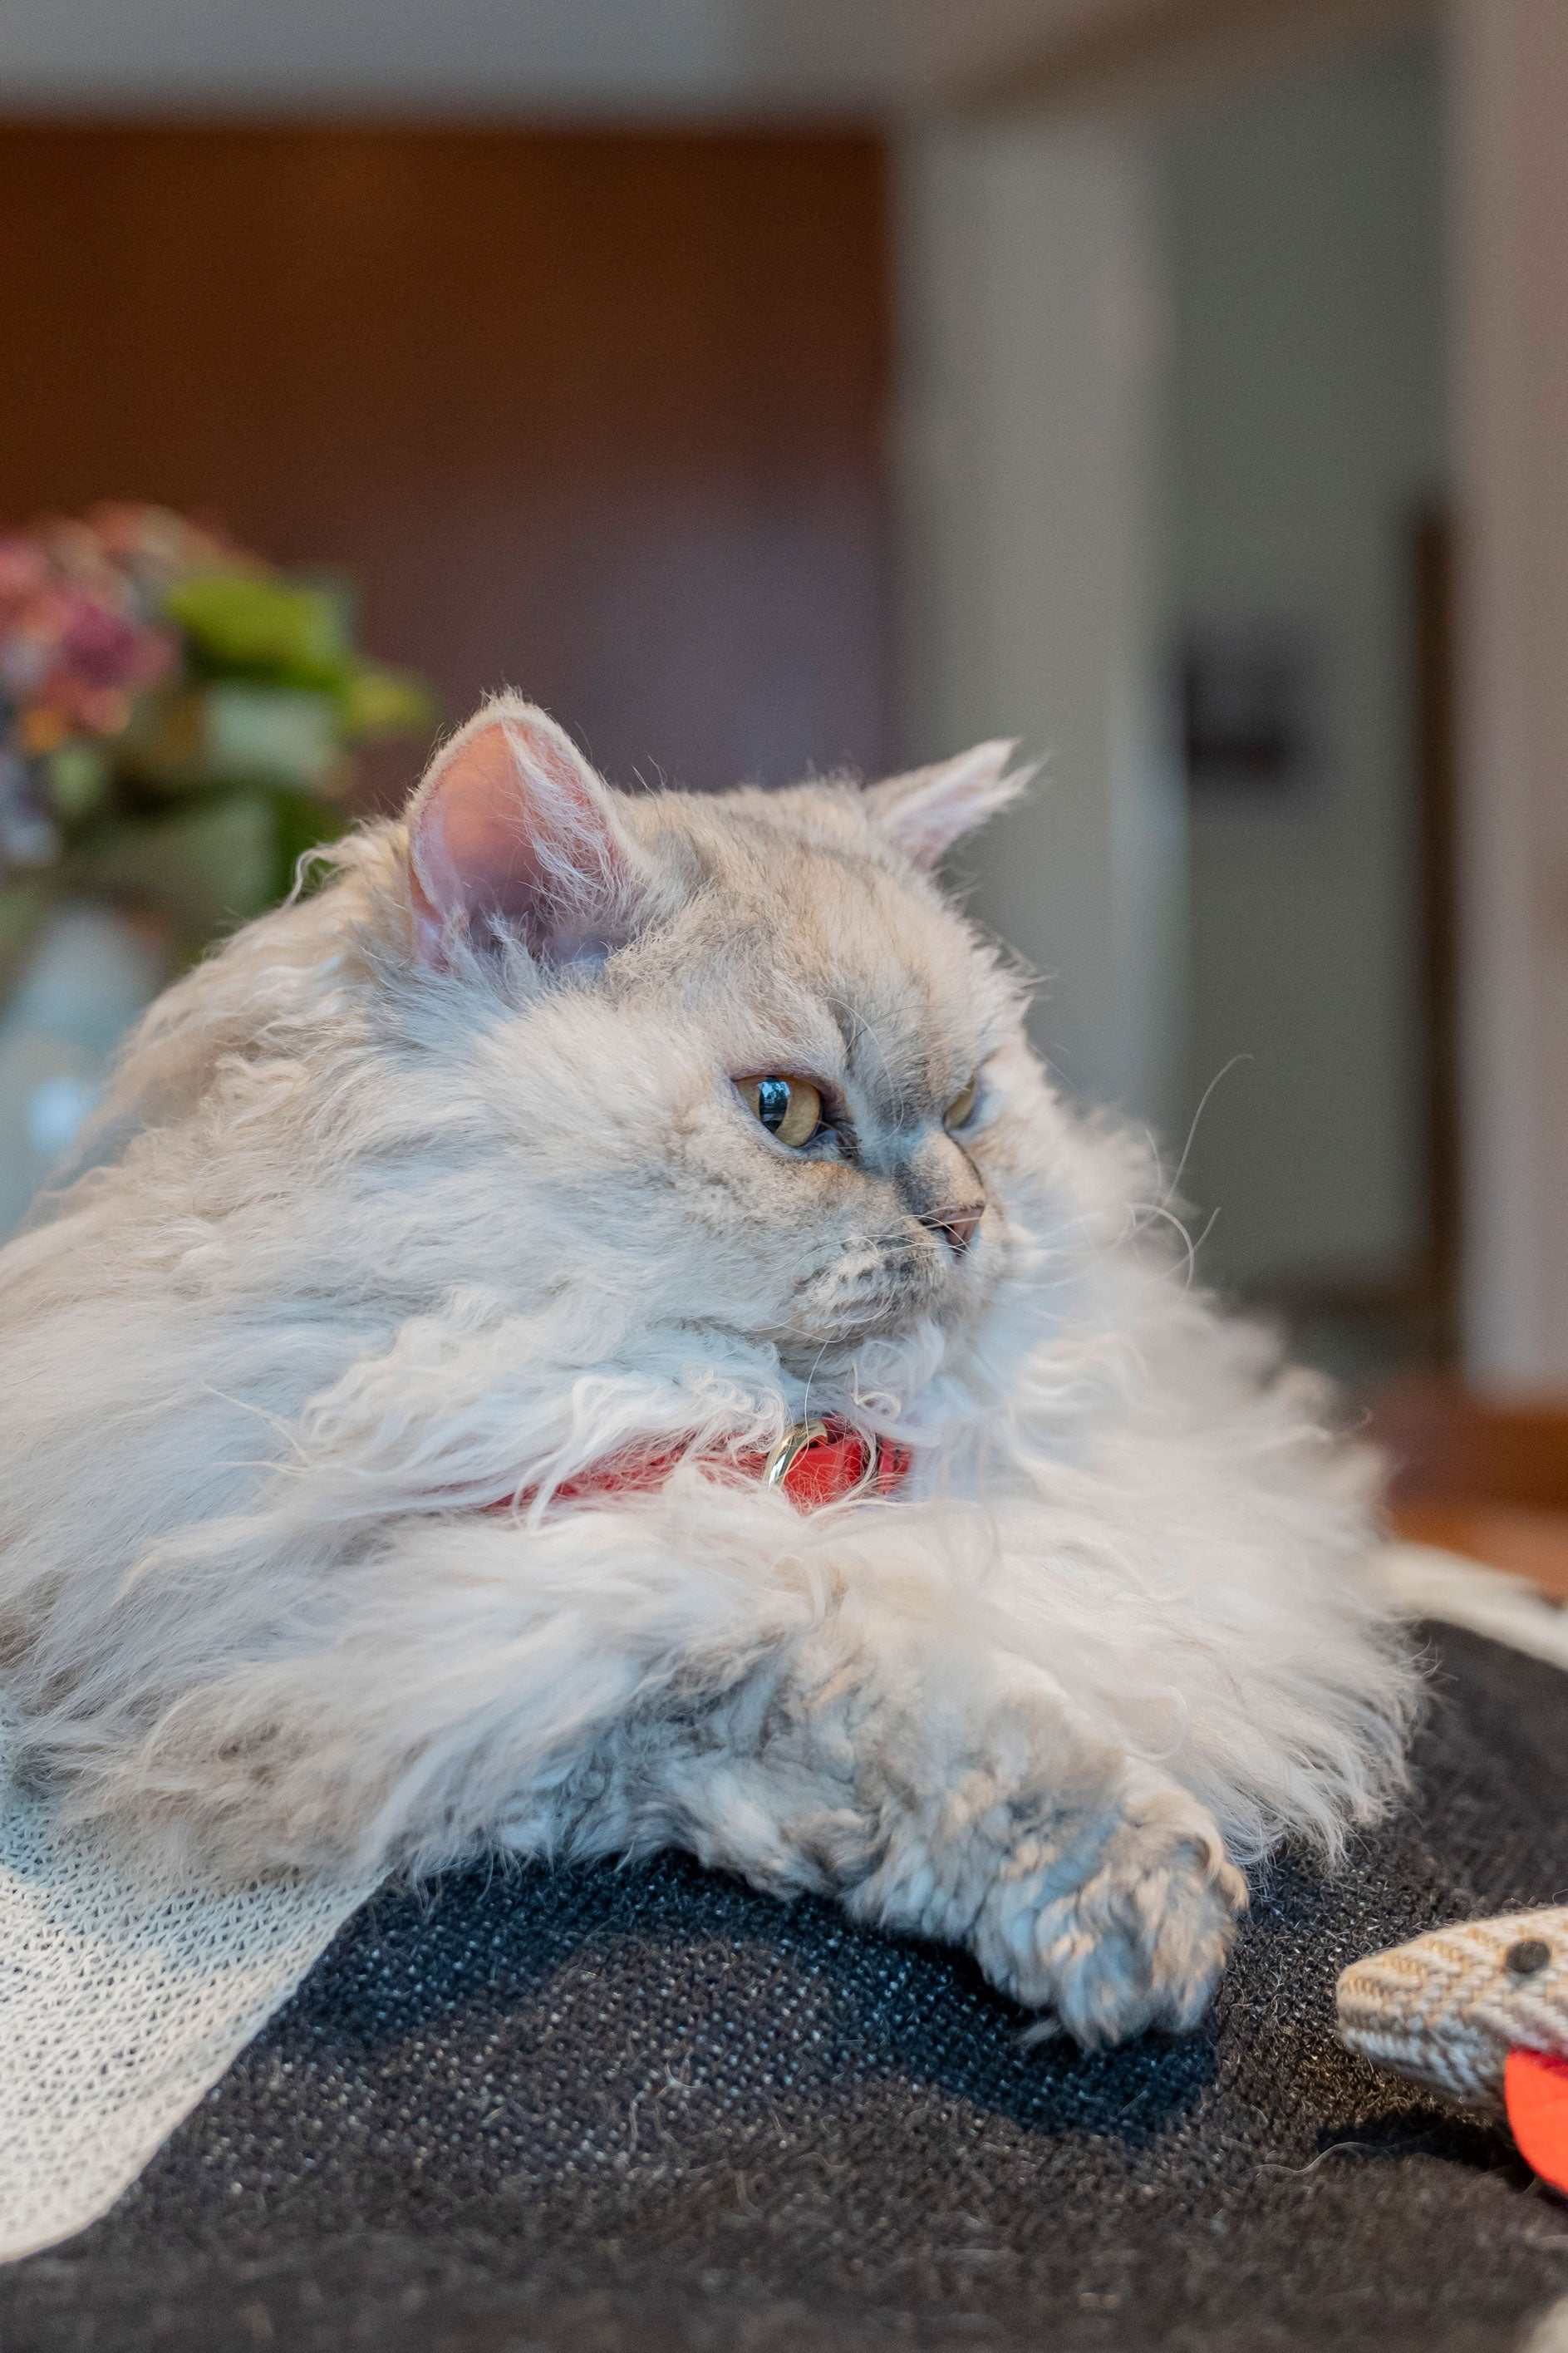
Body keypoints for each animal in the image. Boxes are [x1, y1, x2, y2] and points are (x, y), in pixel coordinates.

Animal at [0, 692, 1419, 2042]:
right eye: (786, 1111)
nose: (965, 1220)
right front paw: (1135, 1912)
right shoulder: (431, 1651)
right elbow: (919, 1711)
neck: (788, 1439)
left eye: (968, 1107)